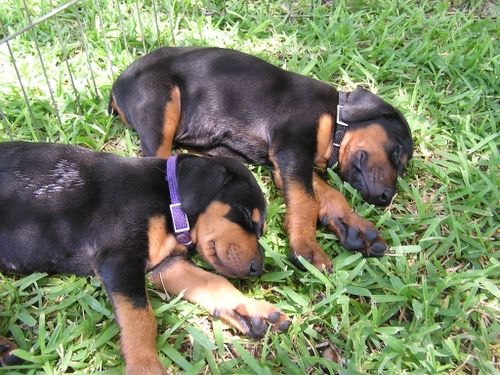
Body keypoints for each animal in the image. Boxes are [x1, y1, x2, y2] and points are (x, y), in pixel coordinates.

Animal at [0, 142, 290, 375]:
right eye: (244, 213)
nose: (258, 268)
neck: (169, 200)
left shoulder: (166, 265)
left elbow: (215, 282)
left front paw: (254, 311)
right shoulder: (120, 259)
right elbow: (141, 319)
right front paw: (145, 365)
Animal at [110, 47, 414, 272]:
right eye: (398, 151)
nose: (387, 196)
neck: (335, 117)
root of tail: (118, 84)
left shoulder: (286, 163)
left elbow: (327, 195)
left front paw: (357, 229)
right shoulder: (291, 148)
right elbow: (306, 201)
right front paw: (307, 248)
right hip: (160, 103)